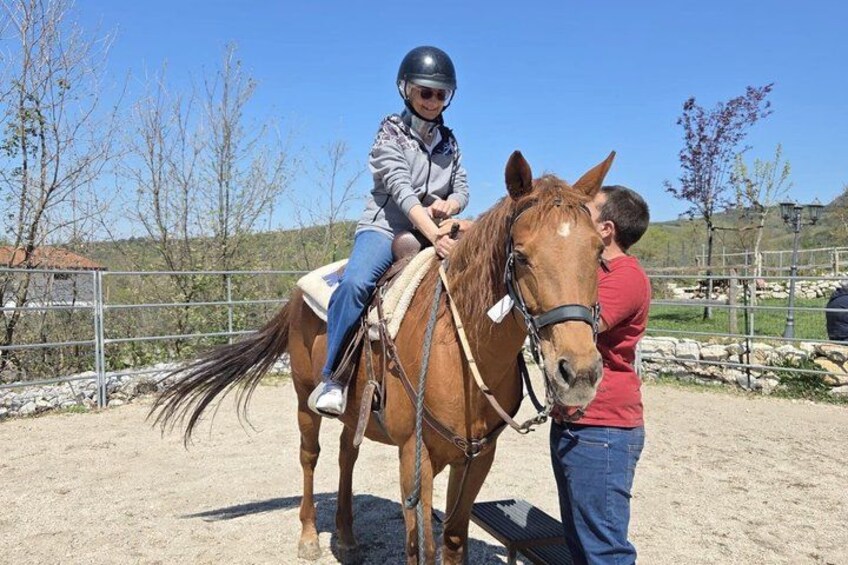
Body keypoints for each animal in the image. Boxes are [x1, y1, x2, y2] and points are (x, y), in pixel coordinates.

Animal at [151, 150, 614, 564]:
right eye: (520, 255)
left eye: (598, 254)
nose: (578, 373)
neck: (457, 349)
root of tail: (297, 296)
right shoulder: (414, 457)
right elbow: (420, 550)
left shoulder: (477, 458)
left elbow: (453, 542)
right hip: (304, 398)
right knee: (309, 456)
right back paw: (309, 538)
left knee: (346, 454)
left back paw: (347, 537)